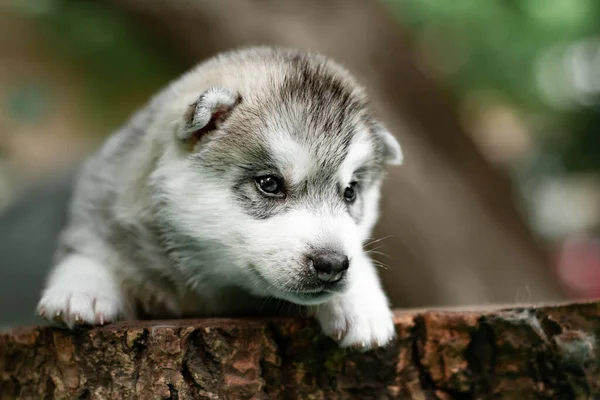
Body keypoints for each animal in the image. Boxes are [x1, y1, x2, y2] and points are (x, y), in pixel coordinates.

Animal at [36, 46, 404, 346]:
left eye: (350, 193)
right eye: (269, 184)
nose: (333, 264)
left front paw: (359, 302)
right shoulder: (102, 206)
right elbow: (89, 251)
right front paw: (80, 289)